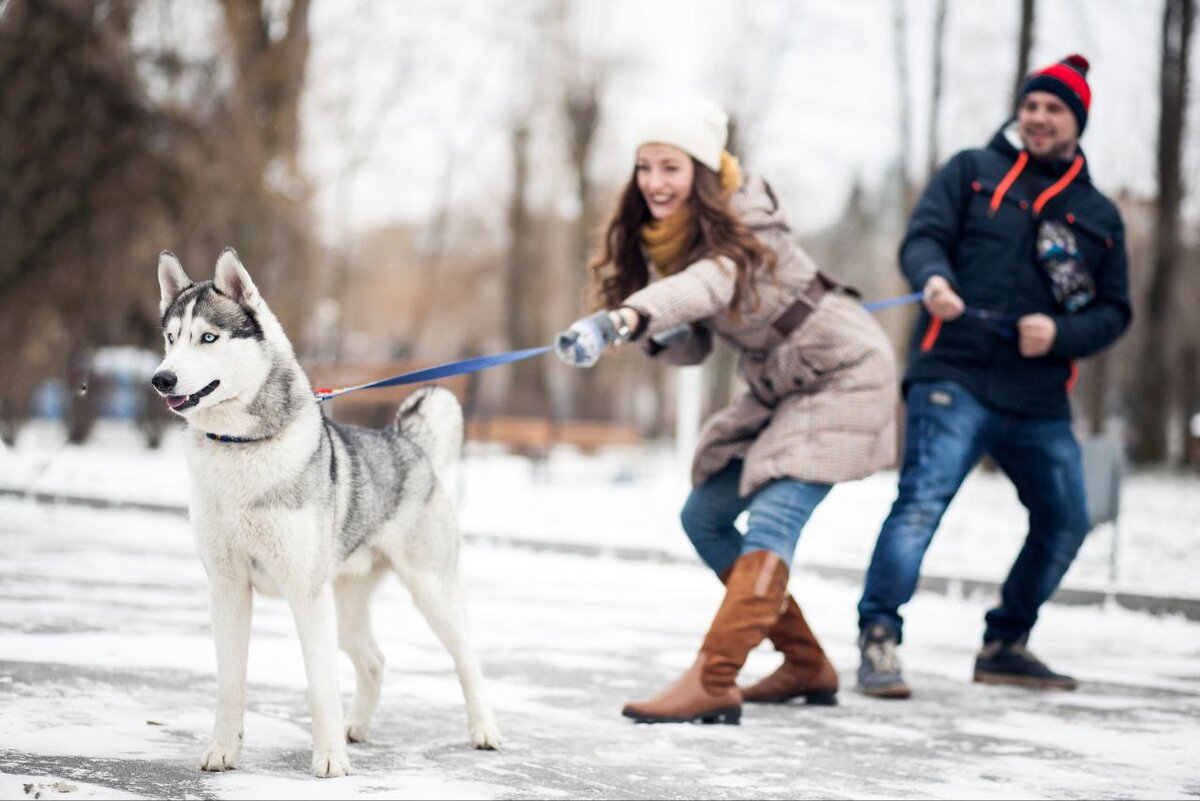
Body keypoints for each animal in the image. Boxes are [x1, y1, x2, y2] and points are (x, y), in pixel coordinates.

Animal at [151, 248, 501, 777]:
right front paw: (224, 750)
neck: (240, 448)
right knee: (374, 660)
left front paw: (330, 758)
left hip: (429, 593)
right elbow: (230, 682)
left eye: (208, 337)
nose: (161, 378)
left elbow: (320, 687)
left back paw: (484, 731)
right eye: (171, 339)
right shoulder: (227, 588)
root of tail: (407, 440)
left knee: (468, 661)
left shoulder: (306, 594)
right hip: (347, 605)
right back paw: (357, 727)